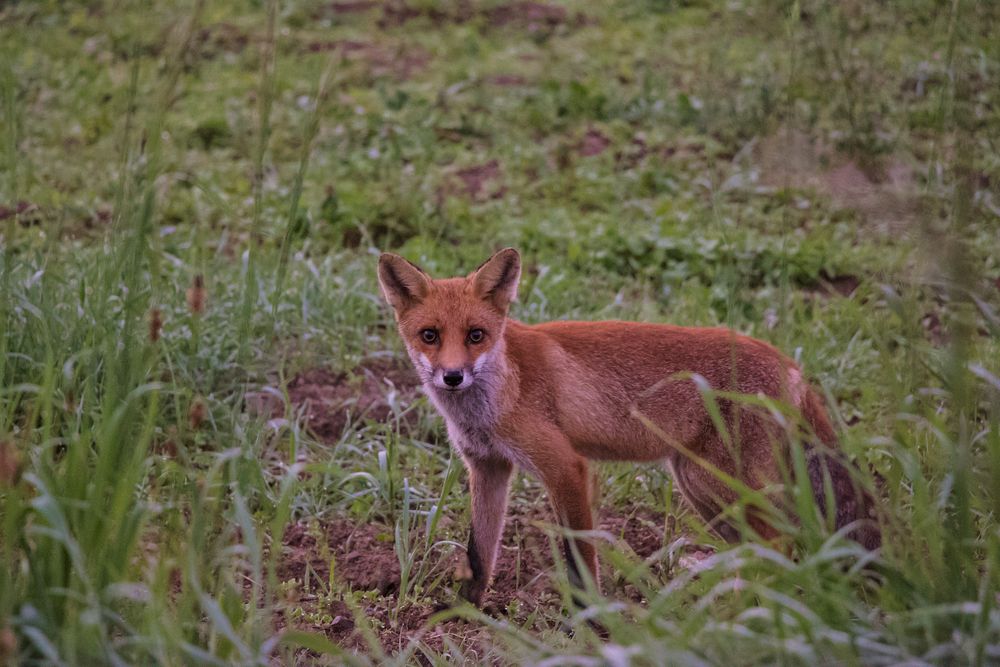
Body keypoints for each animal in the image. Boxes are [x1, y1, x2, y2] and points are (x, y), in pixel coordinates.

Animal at [378, 248, 880, 608]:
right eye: (430, 336)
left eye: (476, 335)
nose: (452, 376)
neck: (503, 387)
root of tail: (791, 364)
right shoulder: (488, 467)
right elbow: (478, 554)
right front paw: (463, 613)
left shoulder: (566, 467)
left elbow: (580, 560)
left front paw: (586, 623)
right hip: (703, 490)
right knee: (768, 547)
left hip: (713, 481)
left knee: (783, 541)